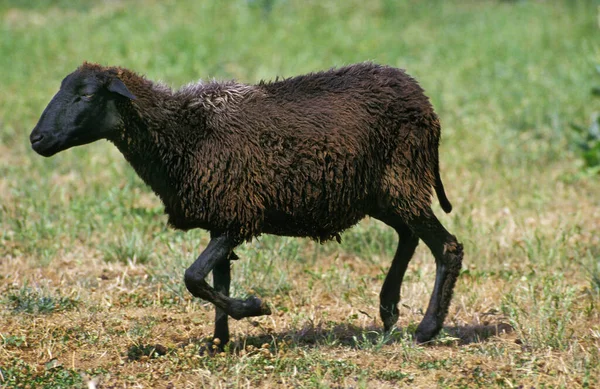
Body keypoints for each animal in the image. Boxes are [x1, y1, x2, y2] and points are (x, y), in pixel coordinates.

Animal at [29, 62, 464, 348]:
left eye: (86, 95)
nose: (36, 139)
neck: (184, 133)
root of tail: (421, 97)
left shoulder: (238, 216)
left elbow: (193, 277)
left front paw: (254, 307)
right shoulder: (221, 217)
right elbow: (216, 279)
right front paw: (218, 342)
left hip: (402, 177)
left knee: (447, 246)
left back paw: (426, 329)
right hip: (385, 191)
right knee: (409, 235)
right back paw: (388, 310)